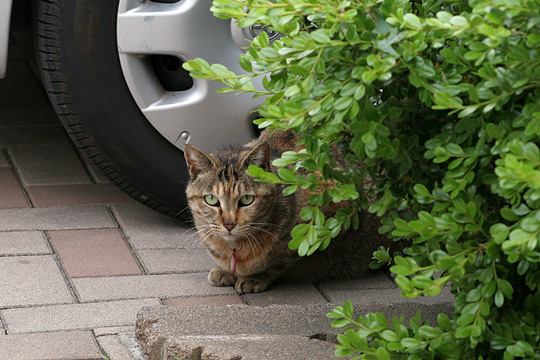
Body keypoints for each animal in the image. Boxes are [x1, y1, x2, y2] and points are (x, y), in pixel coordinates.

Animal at [184, 129, 390, 292]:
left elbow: (279, 261)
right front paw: (226, 271)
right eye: (211, 200)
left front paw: (254, 277)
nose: (229, 224)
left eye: (247, 200)